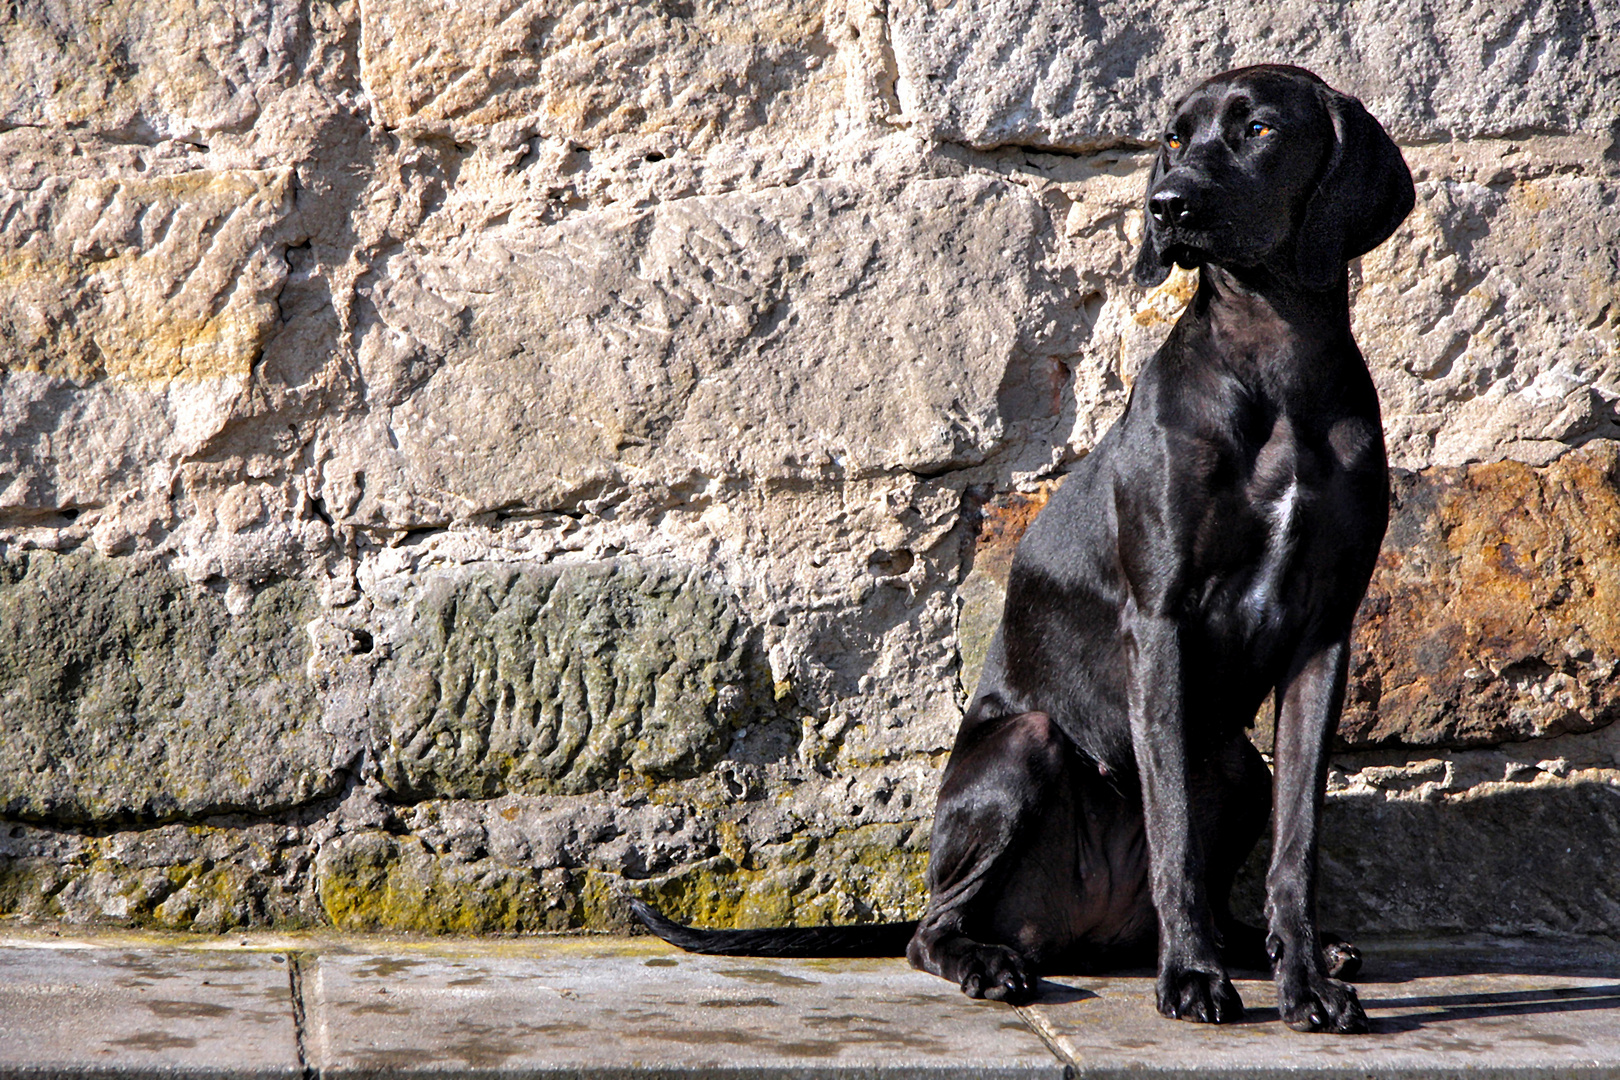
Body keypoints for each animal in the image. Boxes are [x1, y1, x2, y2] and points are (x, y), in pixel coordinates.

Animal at [625, 65, 1412, 1036]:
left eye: (1258, 129)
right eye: (1175, 136)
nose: (1167, 206)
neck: (1275, 365)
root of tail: (1089, 929)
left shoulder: (1323, 636)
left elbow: (1296, 844)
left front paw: (1304, 980)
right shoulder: (1162, 623)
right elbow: (1175, 832)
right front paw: (1191, 980)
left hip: (1236, 764)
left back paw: (1262, 949)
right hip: (1024, 751)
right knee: (932, 928)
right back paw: (1000, 962)